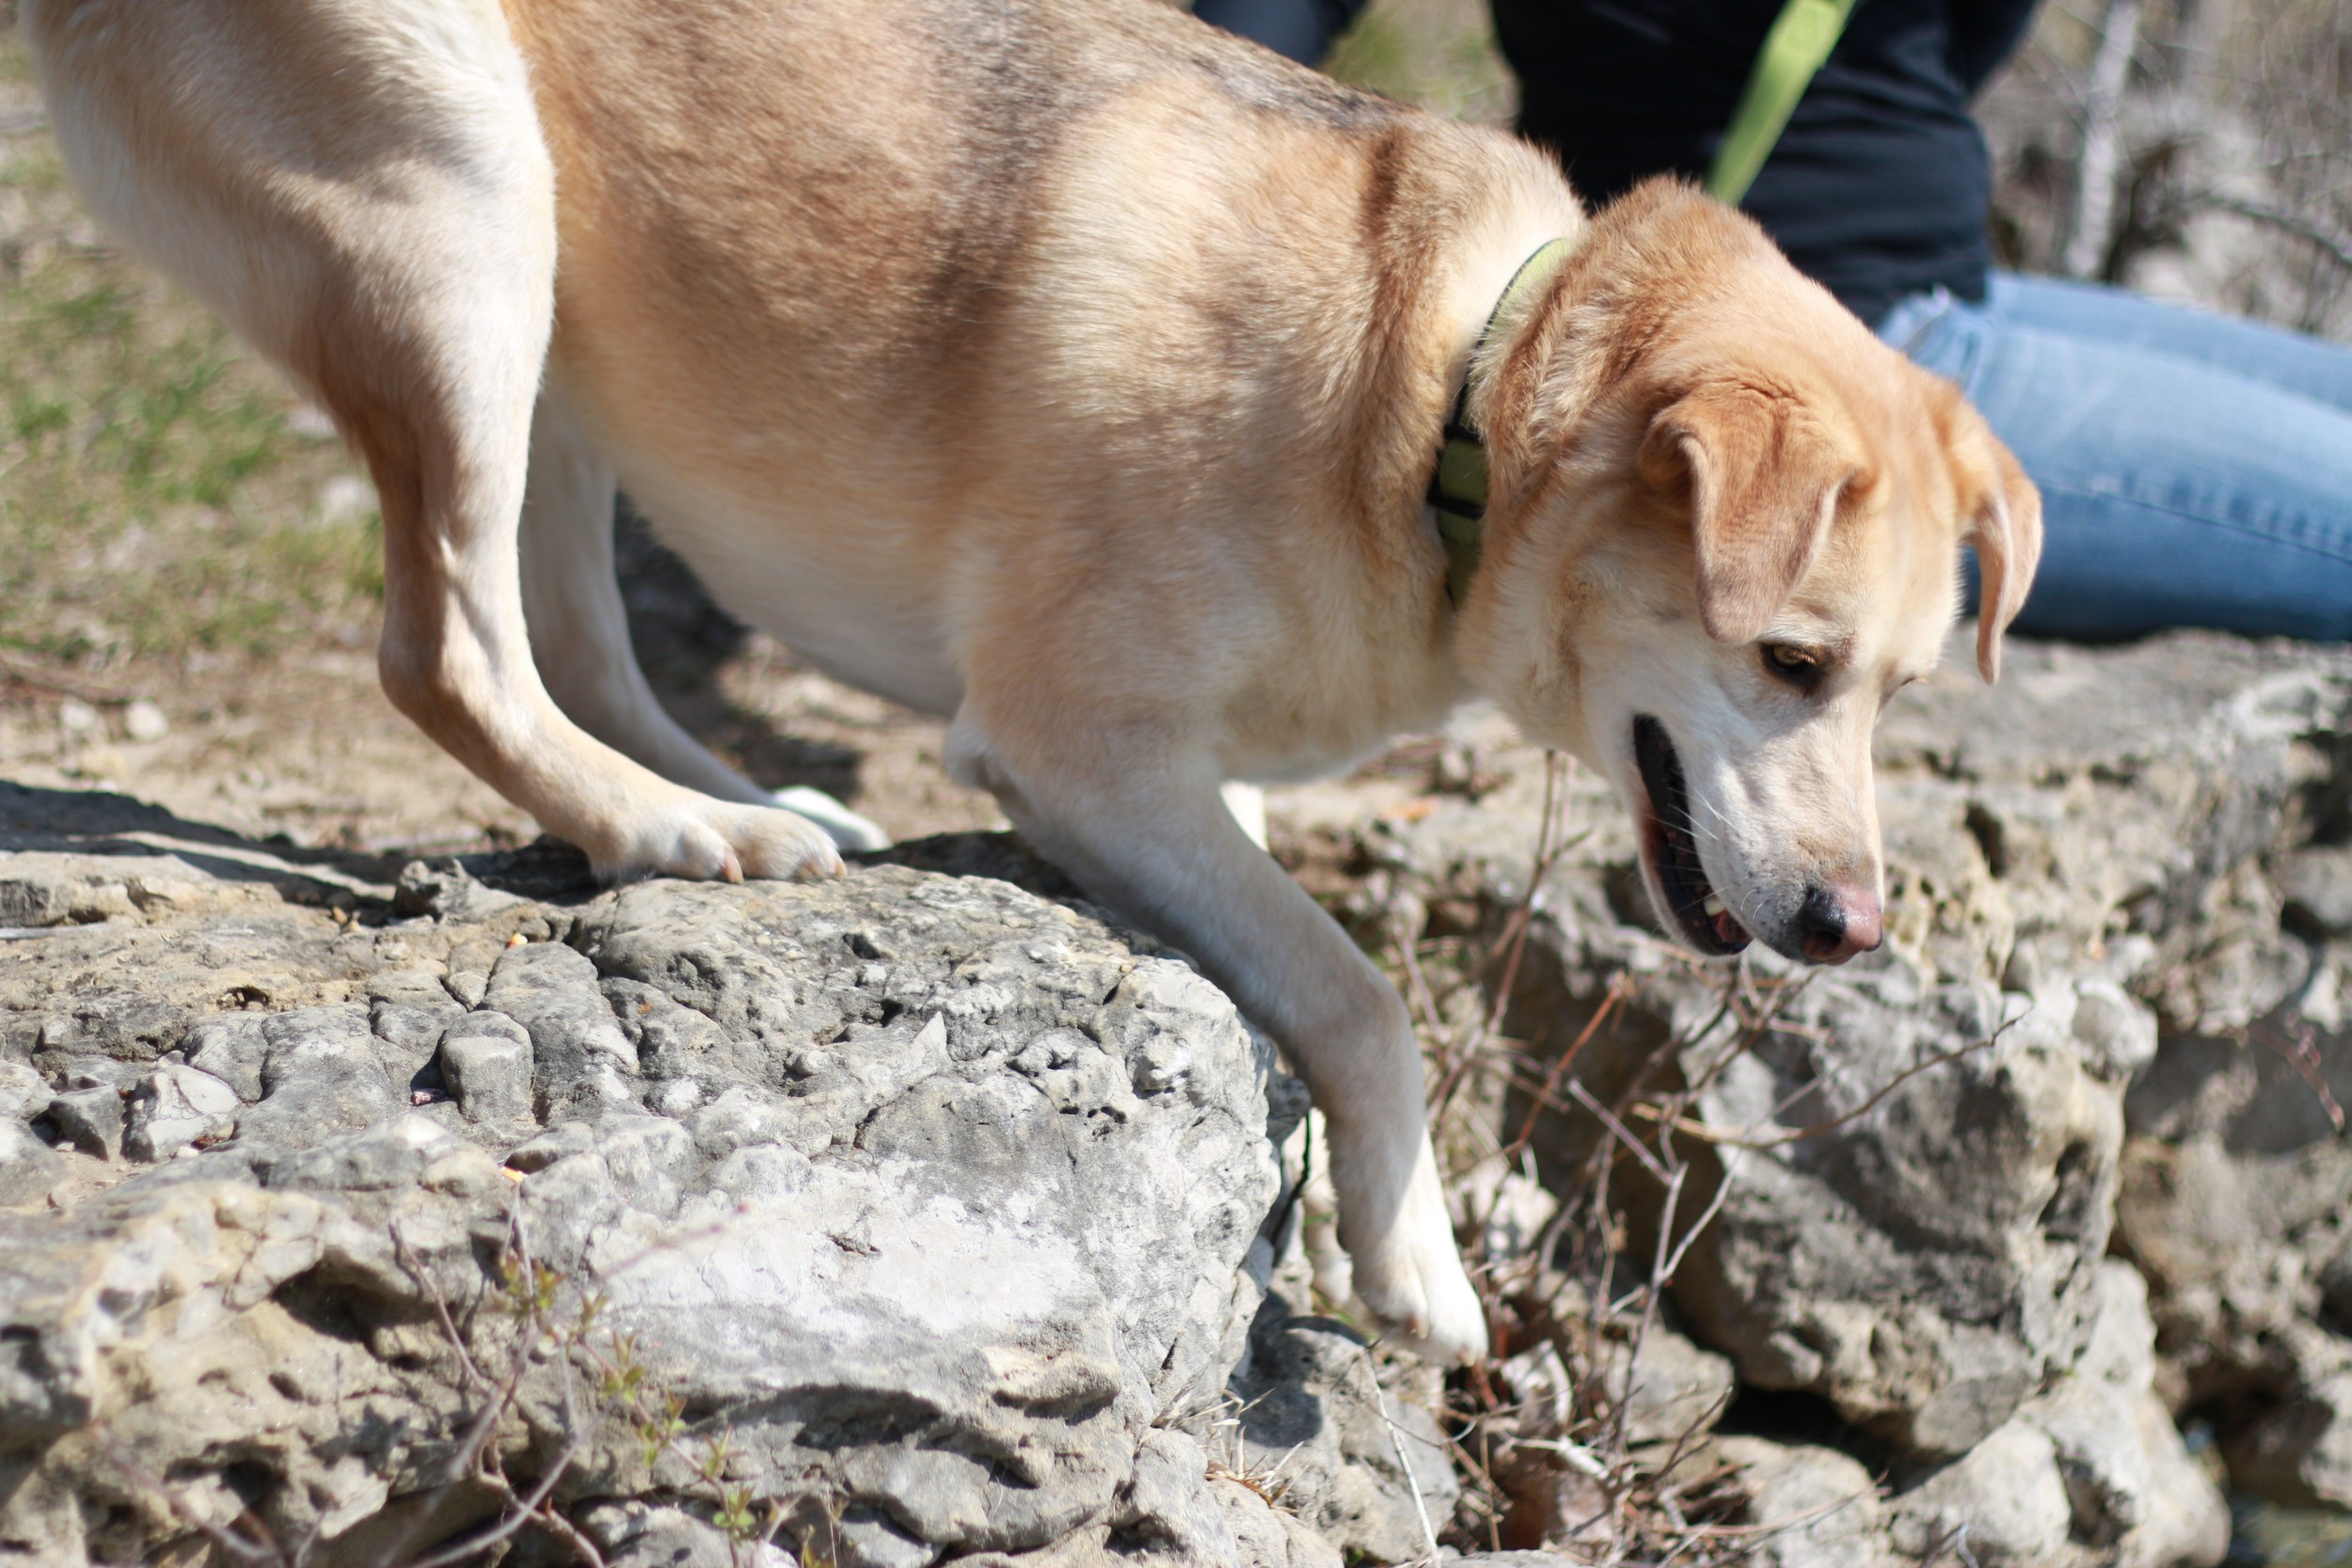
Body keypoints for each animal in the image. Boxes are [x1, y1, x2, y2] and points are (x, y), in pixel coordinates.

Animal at [23, 0, 2042, 1363]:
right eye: (1789, 662)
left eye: (1894, 692)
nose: (1855, 927)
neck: (1446, 379)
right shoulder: (1074, 750)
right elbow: (1356, 988)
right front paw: (1416, 1260)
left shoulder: (1188, 777)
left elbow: (1283, 919)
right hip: (459, 208)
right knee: (450, 646)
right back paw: (670, 834)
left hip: (555, 340)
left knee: (574, 637)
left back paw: (723, 805)